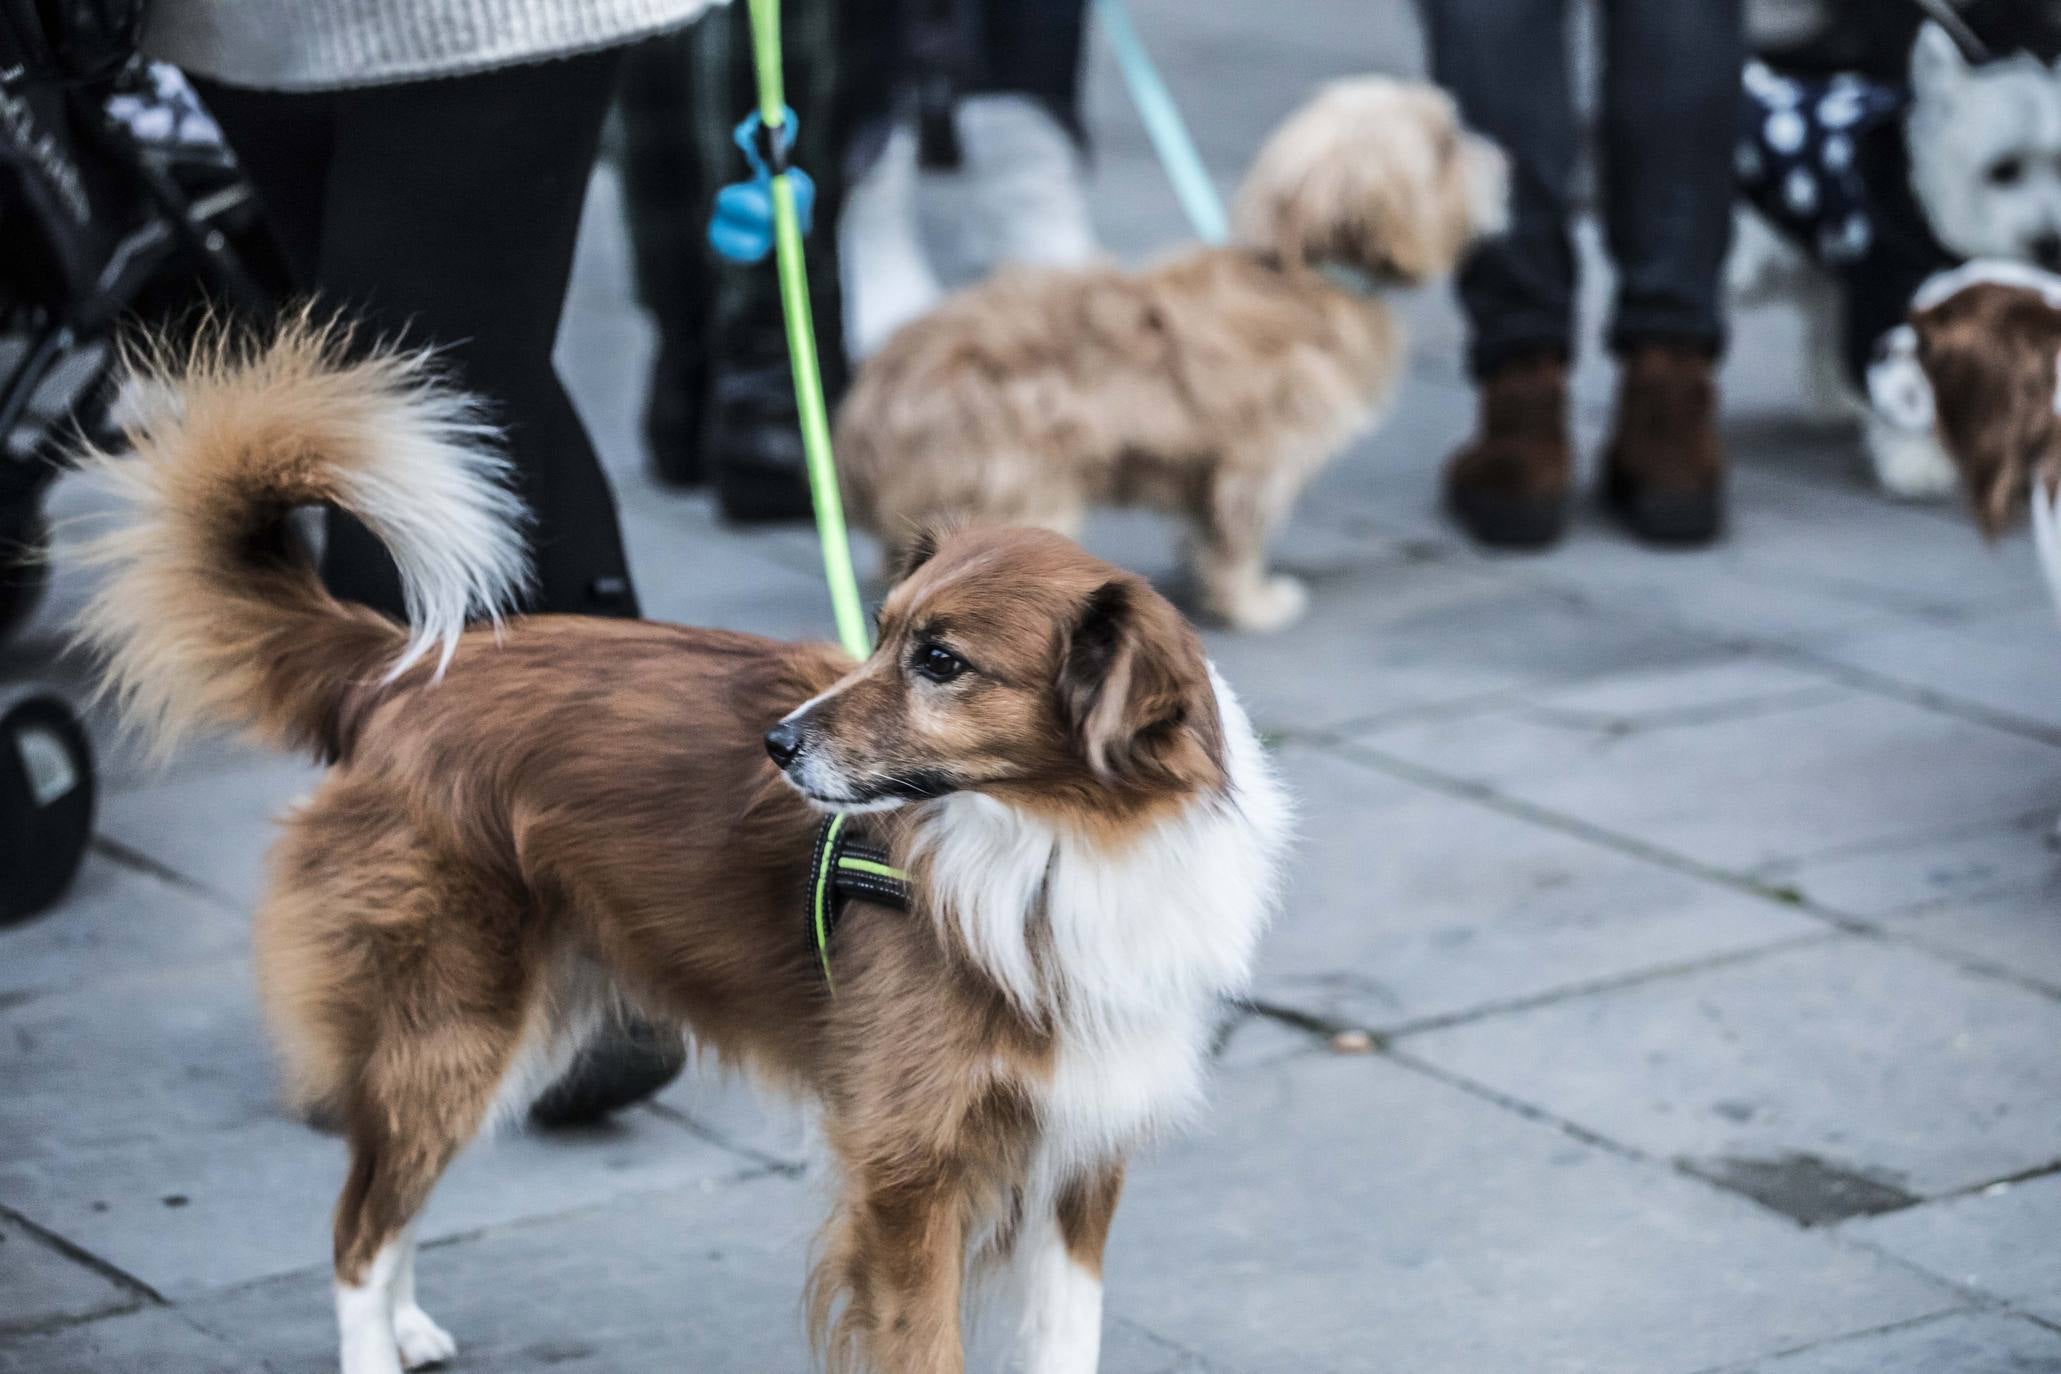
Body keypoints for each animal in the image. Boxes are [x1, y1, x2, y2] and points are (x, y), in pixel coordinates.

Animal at [76, 325, 1286, 1374]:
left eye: (940, 662)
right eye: (881, 635)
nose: (777, 744)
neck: (1054, 845)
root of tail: (399, 672)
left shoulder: (1081, 1158)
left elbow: (1065, 1343)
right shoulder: (909, 1178)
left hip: (522, 1019)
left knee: (391, 1200)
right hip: (453, 1021)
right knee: (356, 1229)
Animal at [828, 76, 1508, 634]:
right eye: (1445, 146)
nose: (1499, 155)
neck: (1298, 272)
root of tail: (867, 413)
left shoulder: (1206, 473)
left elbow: (1204, 531)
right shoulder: (1256, 463)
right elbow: (1238, 541)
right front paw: (1253, 604)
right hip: (1014, 488)